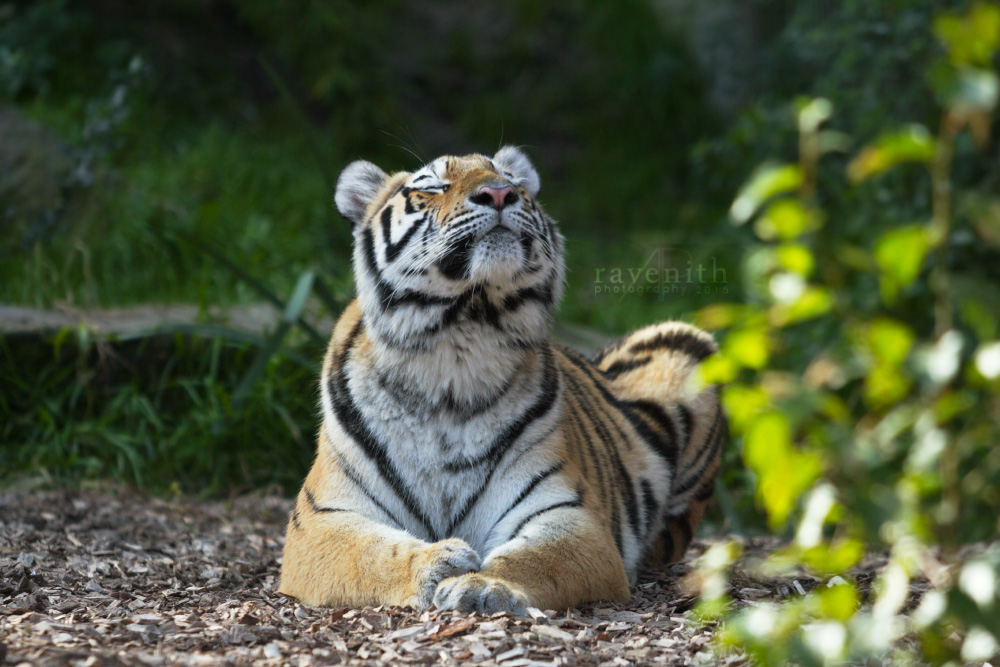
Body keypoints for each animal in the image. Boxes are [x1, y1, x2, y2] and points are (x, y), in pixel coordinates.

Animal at [278, 147, 724, 616]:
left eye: (513, 181)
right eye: (432, 186)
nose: (498, 193)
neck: (458, 341)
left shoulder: (571, 515)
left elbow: (534, 558)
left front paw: (484, 585)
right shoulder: (321, 519)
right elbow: (372, 553)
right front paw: (437, 561)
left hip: (689, 344)